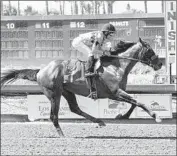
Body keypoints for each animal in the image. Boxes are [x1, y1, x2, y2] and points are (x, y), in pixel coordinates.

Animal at [0, 37, 162, 136]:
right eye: (150, 50)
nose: (160, 64)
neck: (116, 66)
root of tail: (41, 70)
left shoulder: (119, 92)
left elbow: (135, 103)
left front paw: (123, 116)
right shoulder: (115, 92)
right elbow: (138, 102)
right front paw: (156, 116)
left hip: (67, 92)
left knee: (74, 108)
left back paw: (99, 121)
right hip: (54, 94)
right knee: (54, 115)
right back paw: (62, 134)